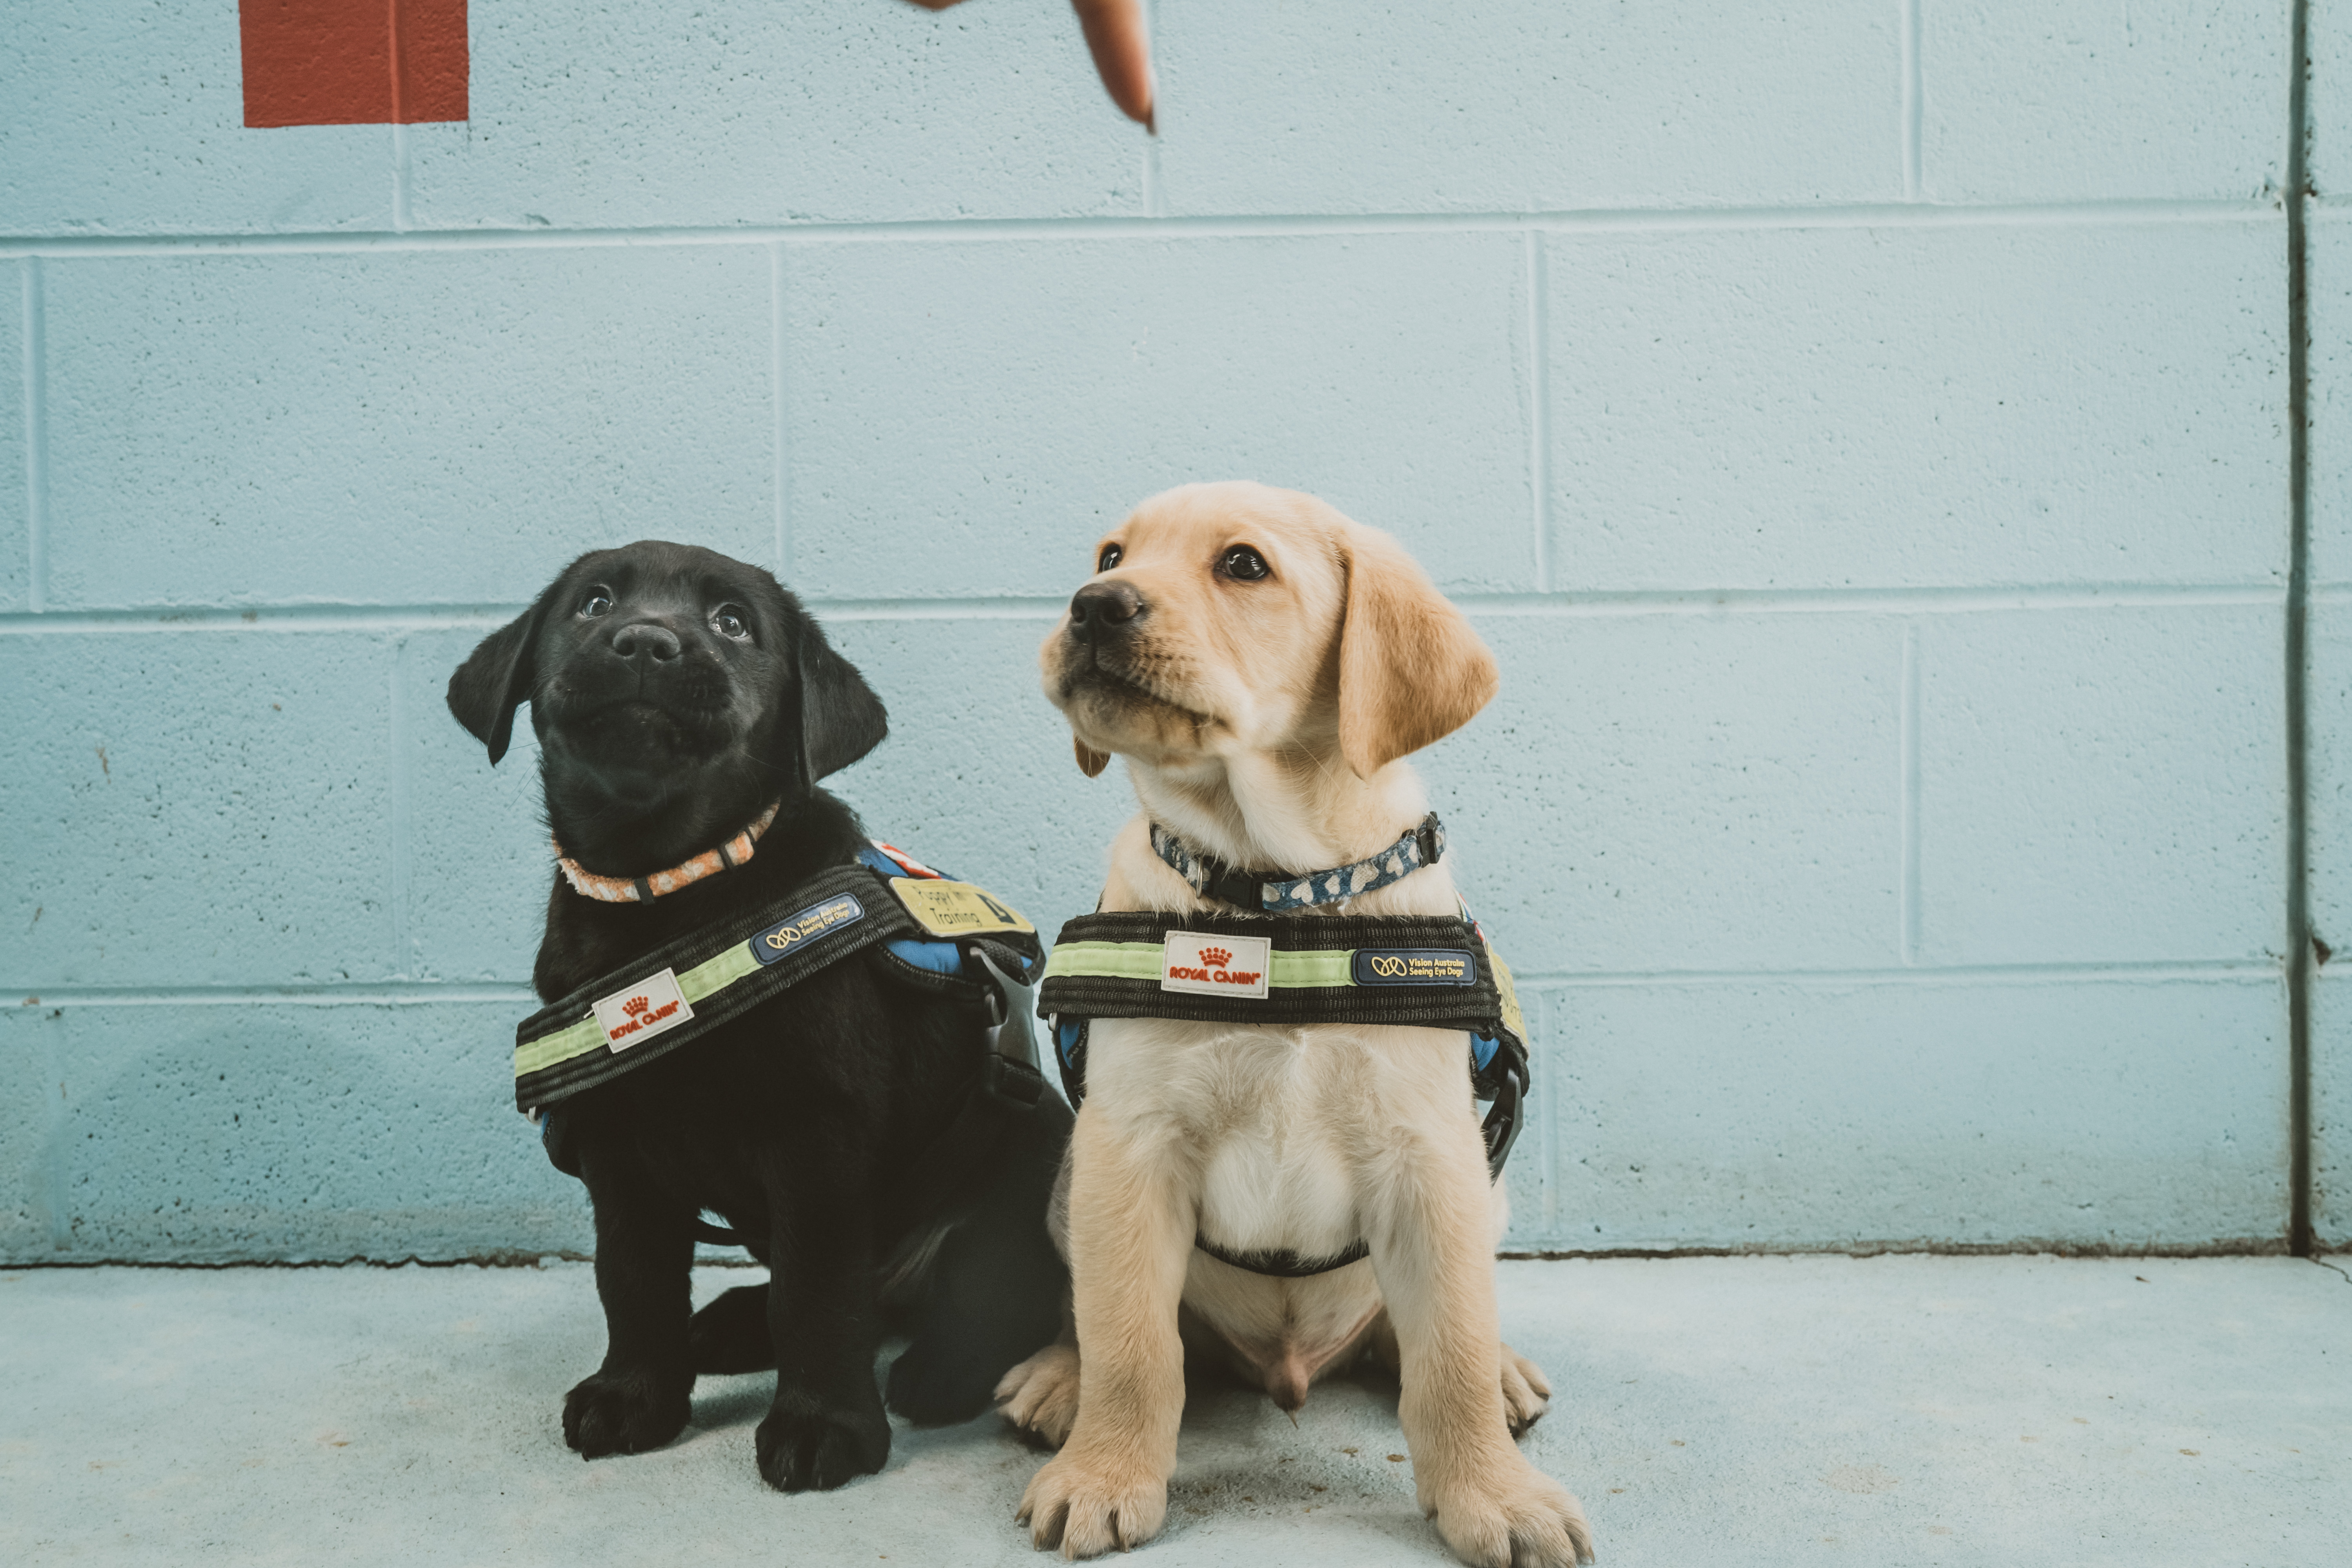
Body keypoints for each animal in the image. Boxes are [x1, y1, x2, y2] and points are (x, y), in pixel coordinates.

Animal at [449, 545, 1077, 1495]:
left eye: (734, 623)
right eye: (593, 603)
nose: (644, 641)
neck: (669, 897)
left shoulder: (815, 1137)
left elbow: (817, 1294)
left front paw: (824, 1427)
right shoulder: (617, 1152)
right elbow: (632, 1280)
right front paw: (635, 1396)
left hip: (1038, 1149)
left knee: (983, 1289)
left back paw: (941, 1370)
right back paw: (735, 1323)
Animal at [997, 482, 1599, 1568]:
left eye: (1243, 565)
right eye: (1110, 554)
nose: (1092, 606)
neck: (1274, 891)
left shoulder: (1430, 1154)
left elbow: (1448, 1347)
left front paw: (1493, 1494)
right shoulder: (1131, 1146)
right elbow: (1130, 1341)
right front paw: (1105, 1473)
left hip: (1484, 1191)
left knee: (1426, 1329)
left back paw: (1502, 1371)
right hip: (1074, 1181)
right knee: (1098, 1315)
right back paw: (1060, 1379)